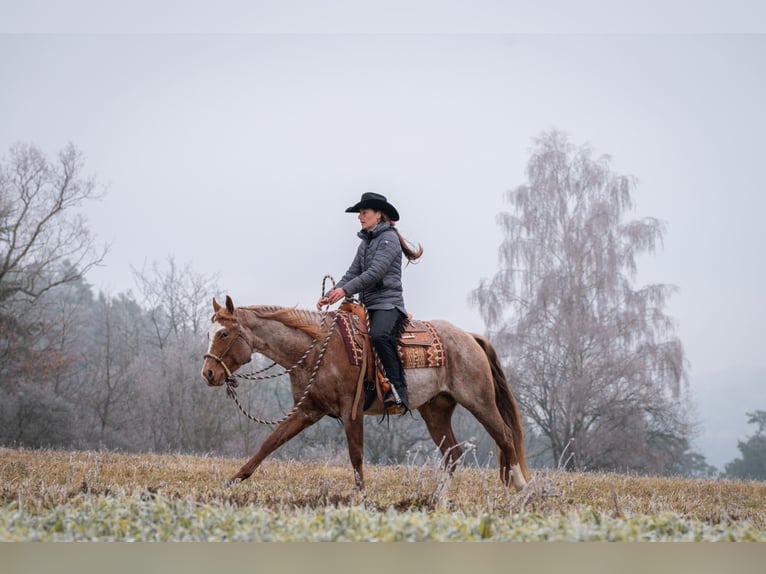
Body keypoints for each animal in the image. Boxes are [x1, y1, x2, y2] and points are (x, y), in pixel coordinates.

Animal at [201, 295, 530, 491]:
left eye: (224, 333)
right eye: (209, 333)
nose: (208, 373)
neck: (317, 349)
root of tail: (469, 337)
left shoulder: (351, 409)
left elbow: (356, 453)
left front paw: (360, 495)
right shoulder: (307, 410)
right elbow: (271, 442)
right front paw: (234, 480)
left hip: (479, 401)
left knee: (505, 436)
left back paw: (520, 487)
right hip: (435, 411)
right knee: (452, 453)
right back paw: (438, 497)